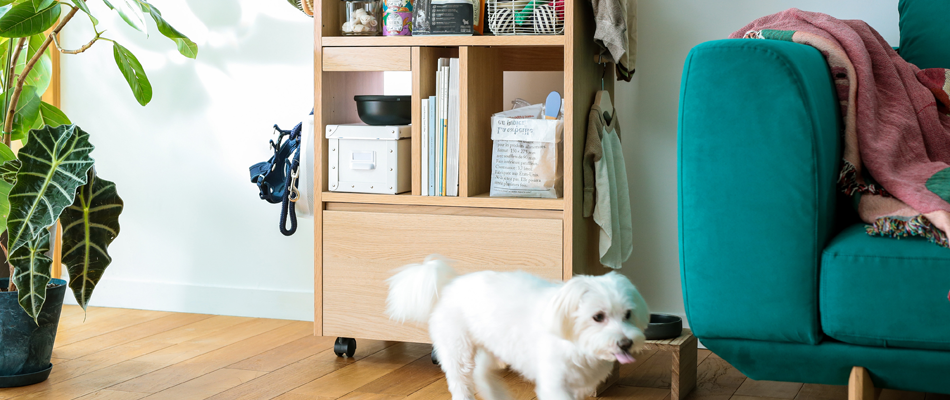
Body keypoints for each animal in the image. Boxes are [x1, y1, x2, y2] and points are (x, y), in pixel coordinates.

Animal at [385, 255, 650, 400]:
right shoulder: (555, 382)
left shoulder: (578, 385)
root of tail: (449, 285)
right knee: (461, 382)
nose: (626, 343)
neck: (576, 342)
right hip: (457, 348)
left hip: (493, 346)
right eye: (597, 317)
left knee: (482, 373)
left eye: (628, 314)